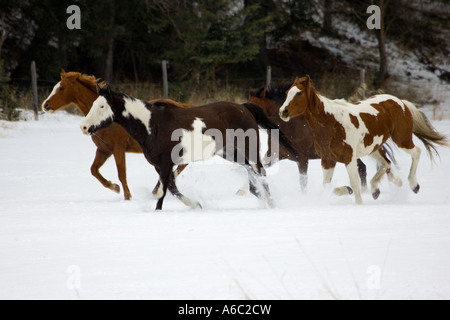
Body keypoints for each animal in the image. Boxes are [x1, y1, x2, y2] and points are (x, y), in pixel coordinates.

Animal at [81, 85, 298, 210]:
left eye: (102, 106)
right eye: (93, 104)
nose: (84, 127)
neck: (152, 125)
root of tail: (244, 107)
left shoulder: (166, 164)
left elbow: (163, 191)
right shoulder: (160, 165)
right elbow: (171, 188)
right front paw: (196, 205)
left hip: (249, 149)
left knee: (261, 172)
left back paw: (271, 203)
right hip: (231, 154)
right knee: (253, 177)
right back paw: (262, 200)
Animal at [280, 76, 448, 204]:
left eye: (299, 93)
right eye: (288, 92)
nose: (283, 111)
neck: (332, 123)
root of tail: (400, 102)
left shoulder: (349, 158)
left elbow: (355, 183)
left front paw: (359, 203)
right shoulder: (327, 160)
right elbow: (326, 187)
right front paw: (345, 190)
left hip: (402, 139)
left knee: (416, 152)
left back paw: (413, 185)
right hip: (373, 148)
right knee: (386, 163)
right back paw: (378, 189)